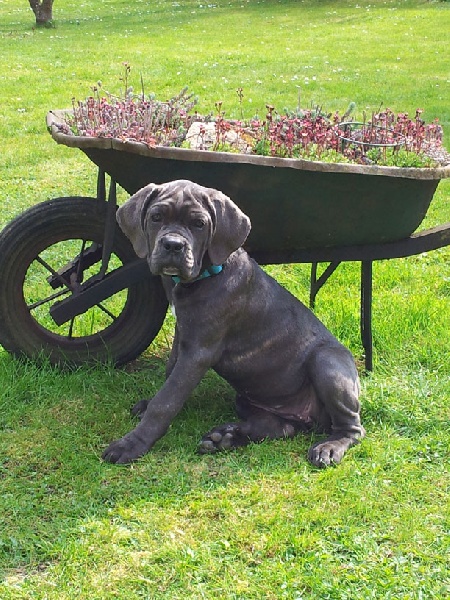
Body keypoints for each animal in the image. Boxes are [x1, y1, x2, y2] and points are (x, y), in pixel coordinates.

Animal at [103, 180, 366, 466]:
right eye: (156, 217)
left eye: (199, 224)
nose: (173, 245)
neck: (206, 275)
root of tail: (310, 419)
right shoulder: (182, 336)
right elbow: (169, 374)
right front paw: (148, 406)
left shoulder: (198, 352)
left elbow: (167, 400)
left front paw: (131, 444)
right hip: (250, 399)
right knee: (282, 427)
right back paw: (226, 437)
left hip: (326, 363)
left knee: (352, 428)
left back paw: (329, 447)